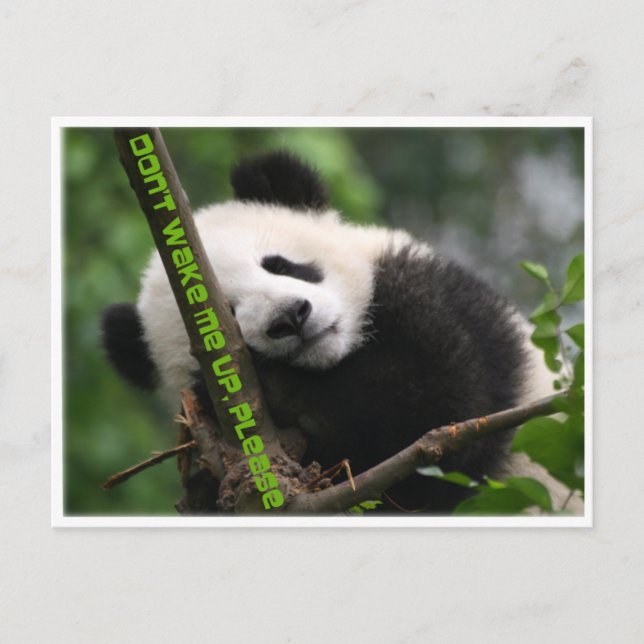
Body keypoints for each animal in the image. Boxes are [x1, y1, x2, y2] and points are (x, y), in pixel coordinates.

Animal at [103, 150, 581, 515]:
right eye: (222, 322)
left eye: (280, 264)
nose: (291, 318)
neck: (334, 361)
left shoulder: (447, 306)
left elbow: (442, 409)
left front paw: (281, 390)